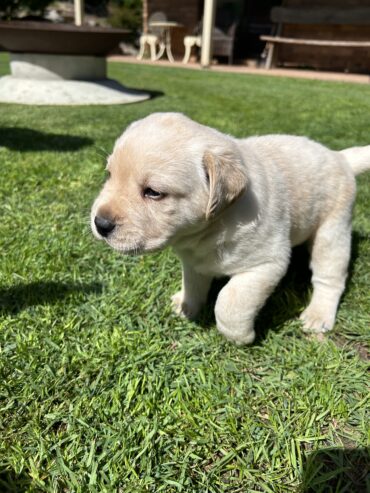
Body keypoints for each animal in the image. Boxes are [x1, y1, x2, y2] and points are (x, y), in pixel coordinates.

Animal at [91, 113, 368, 344]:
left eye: (153, 192)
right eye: (109, 175)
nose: (100, 224)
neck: (209, 229)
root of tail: (339, 157)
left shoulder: (266, 264)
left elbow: (229, 301)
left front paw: (240, 336)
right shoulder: (193, 261)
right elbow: (193, 284)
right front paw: (186, 305)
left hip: (332, 232)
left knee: (330, 278)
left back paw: (318, 315)